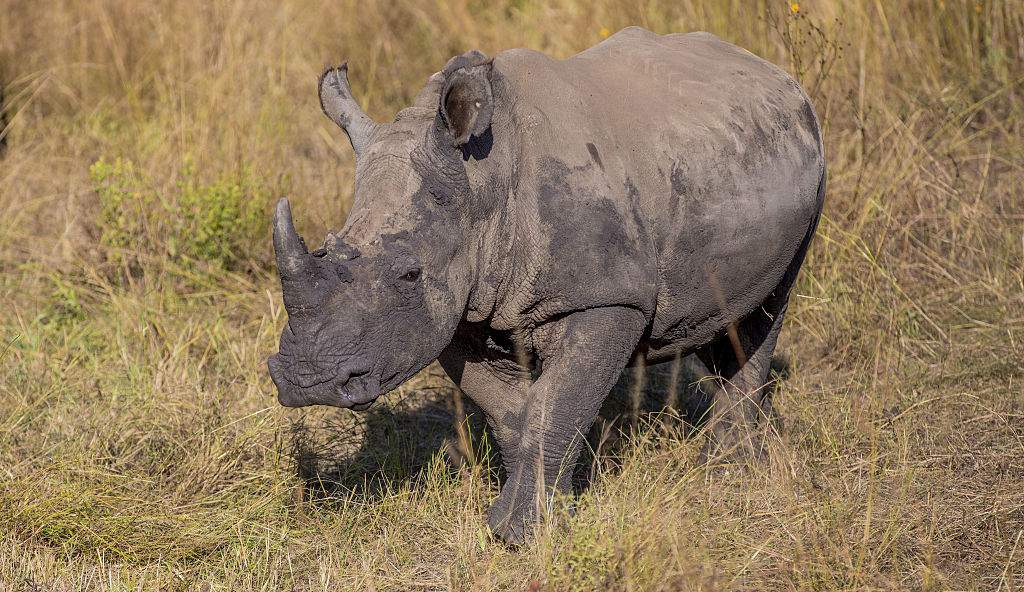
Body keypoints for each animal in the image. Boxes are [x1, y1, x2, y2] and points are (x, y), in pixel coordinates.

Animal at [268, 27, 825, 543]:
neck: (482, 183)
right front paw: (540, 513)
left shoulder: (608, 299)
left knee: (763, 314)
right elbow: (514, 415)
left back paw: (729, 470)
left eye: (409, 274)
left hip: (808, 170)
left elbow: (558, 405)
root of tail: (774, 71)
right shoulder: (462, 313)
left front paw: (519, 534)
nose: (307, 382)